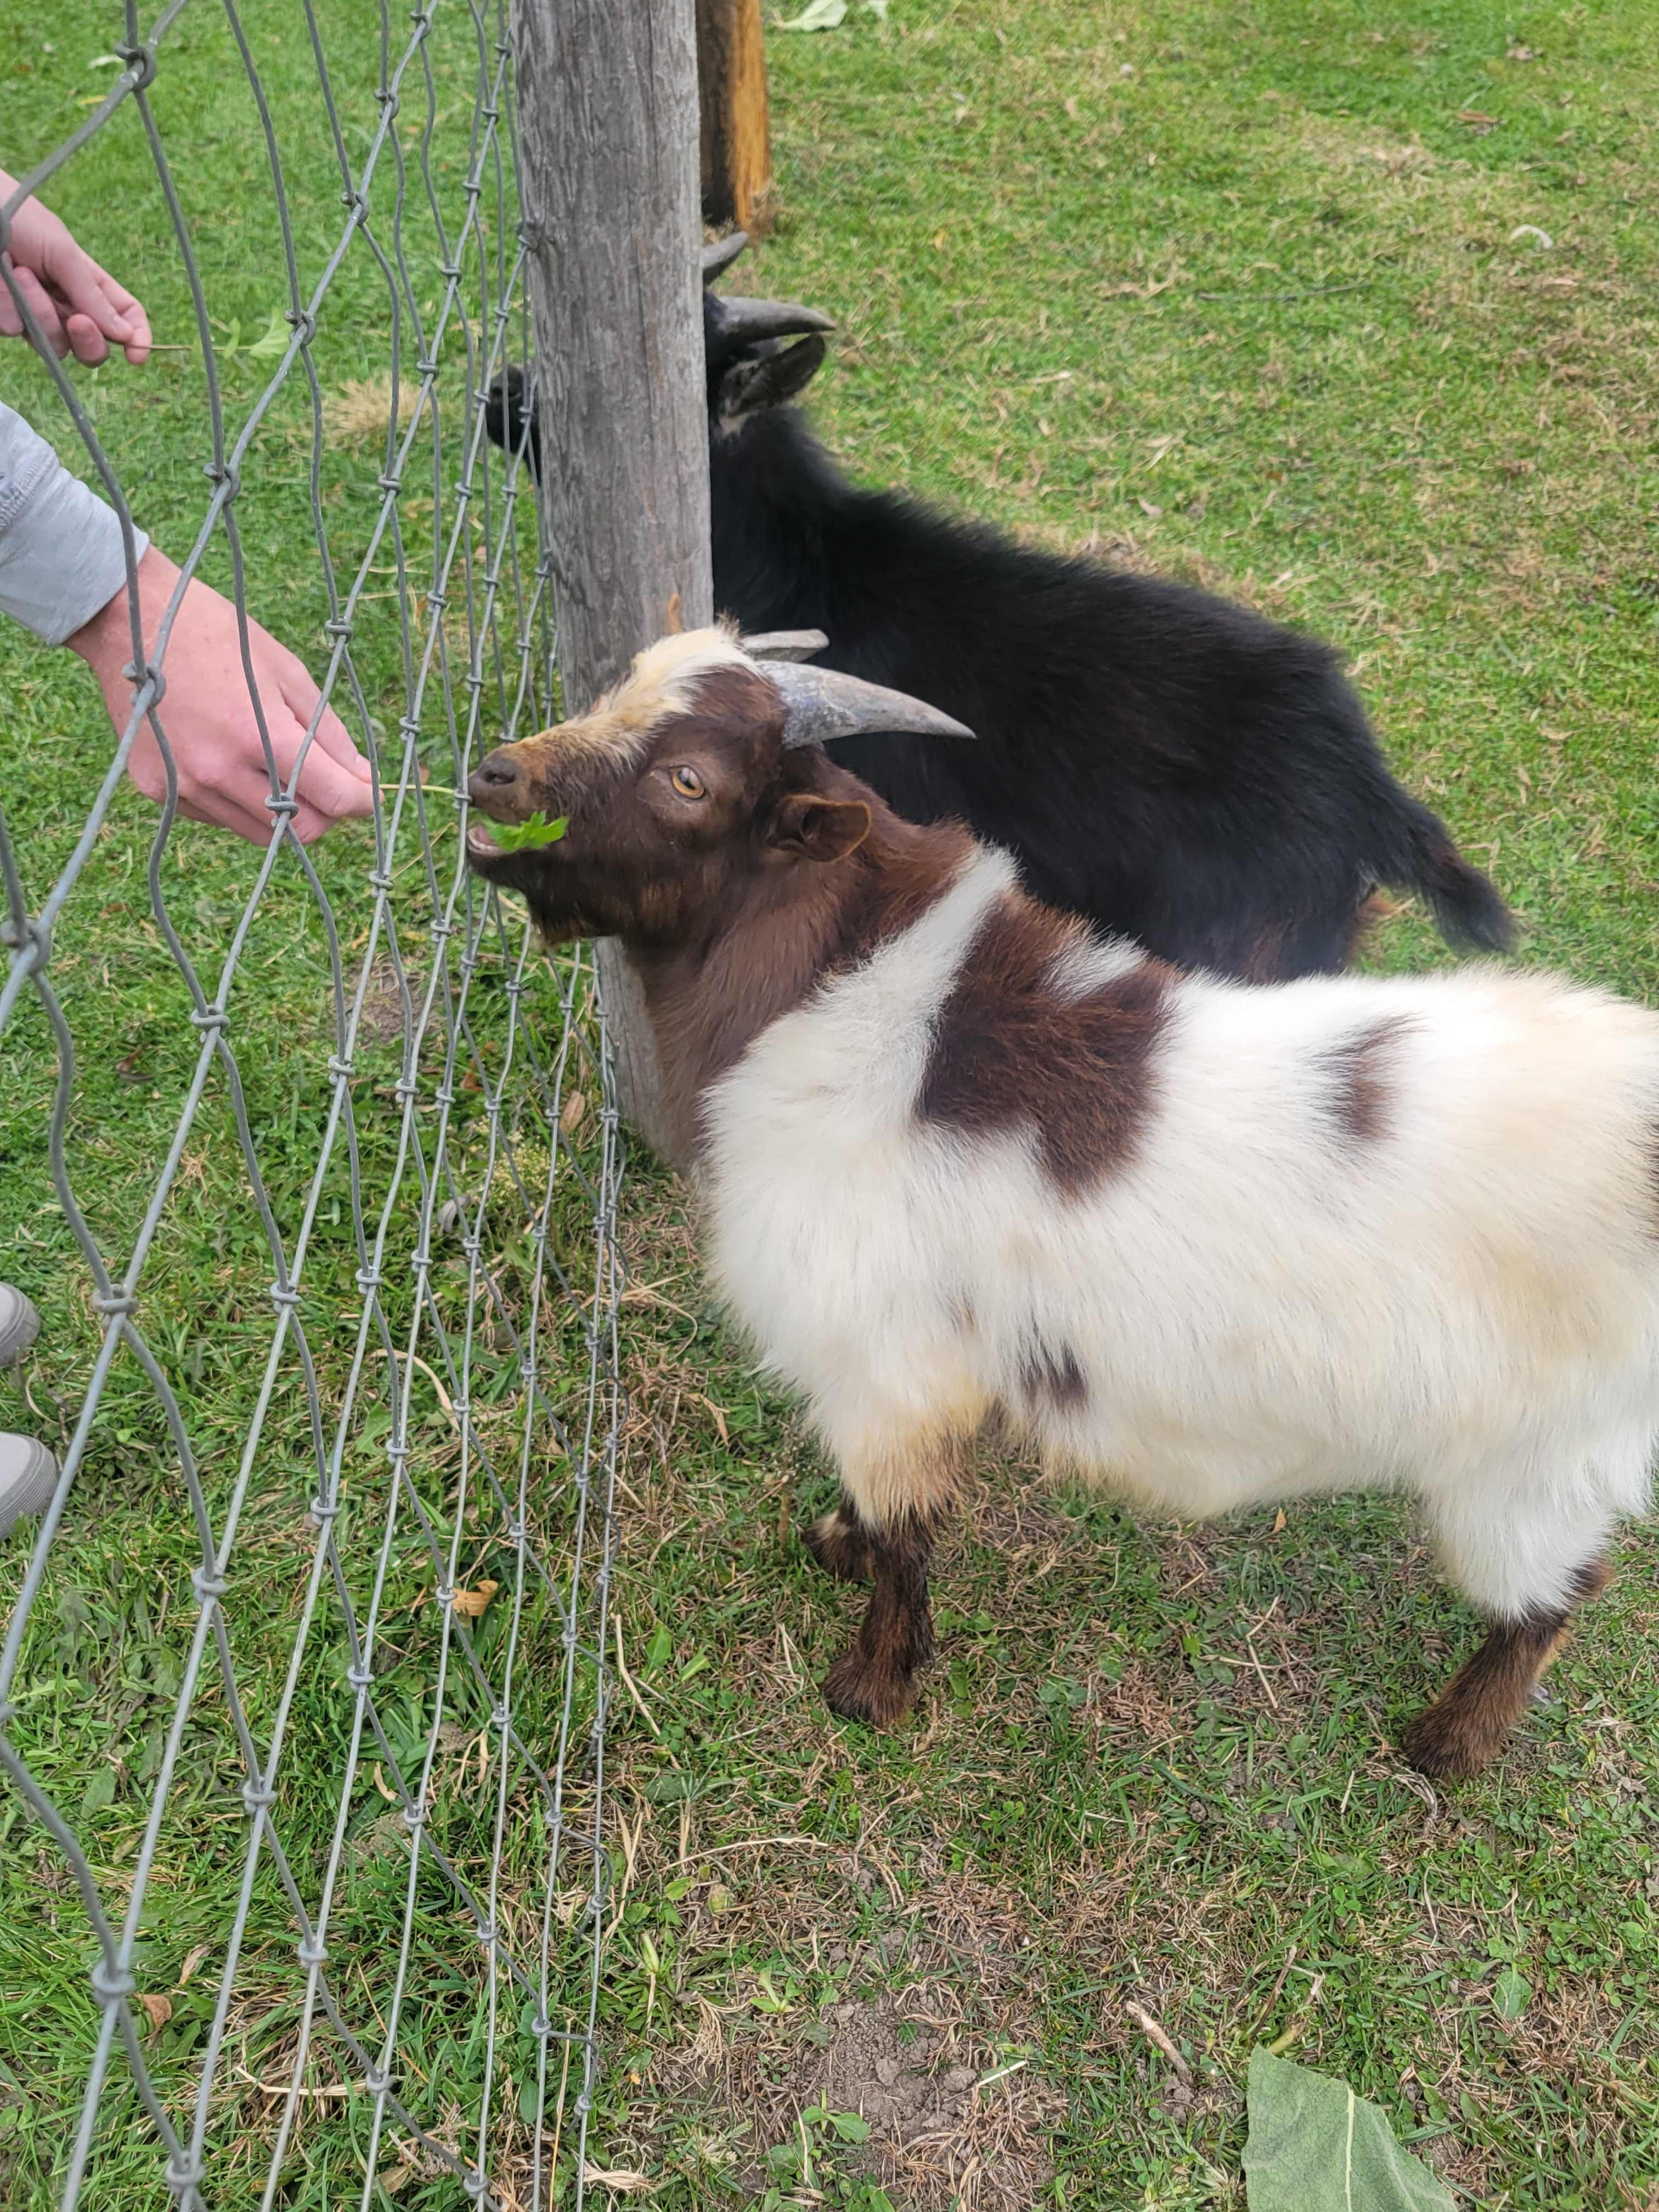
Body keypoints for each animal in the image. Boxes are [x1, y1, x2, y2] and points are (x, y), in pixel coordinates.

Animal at [467, 624, 1653, 1779]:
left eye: (689, 781)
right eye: (625, 681)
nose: (494, 777)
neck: (834, 999)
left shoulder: (884, 1364)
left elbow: (905, 1532)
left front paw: (871, 1687)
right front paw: (834, 1545)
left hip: (1533, 1462)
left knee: (1553, 1597)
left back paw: (1448, 1747)